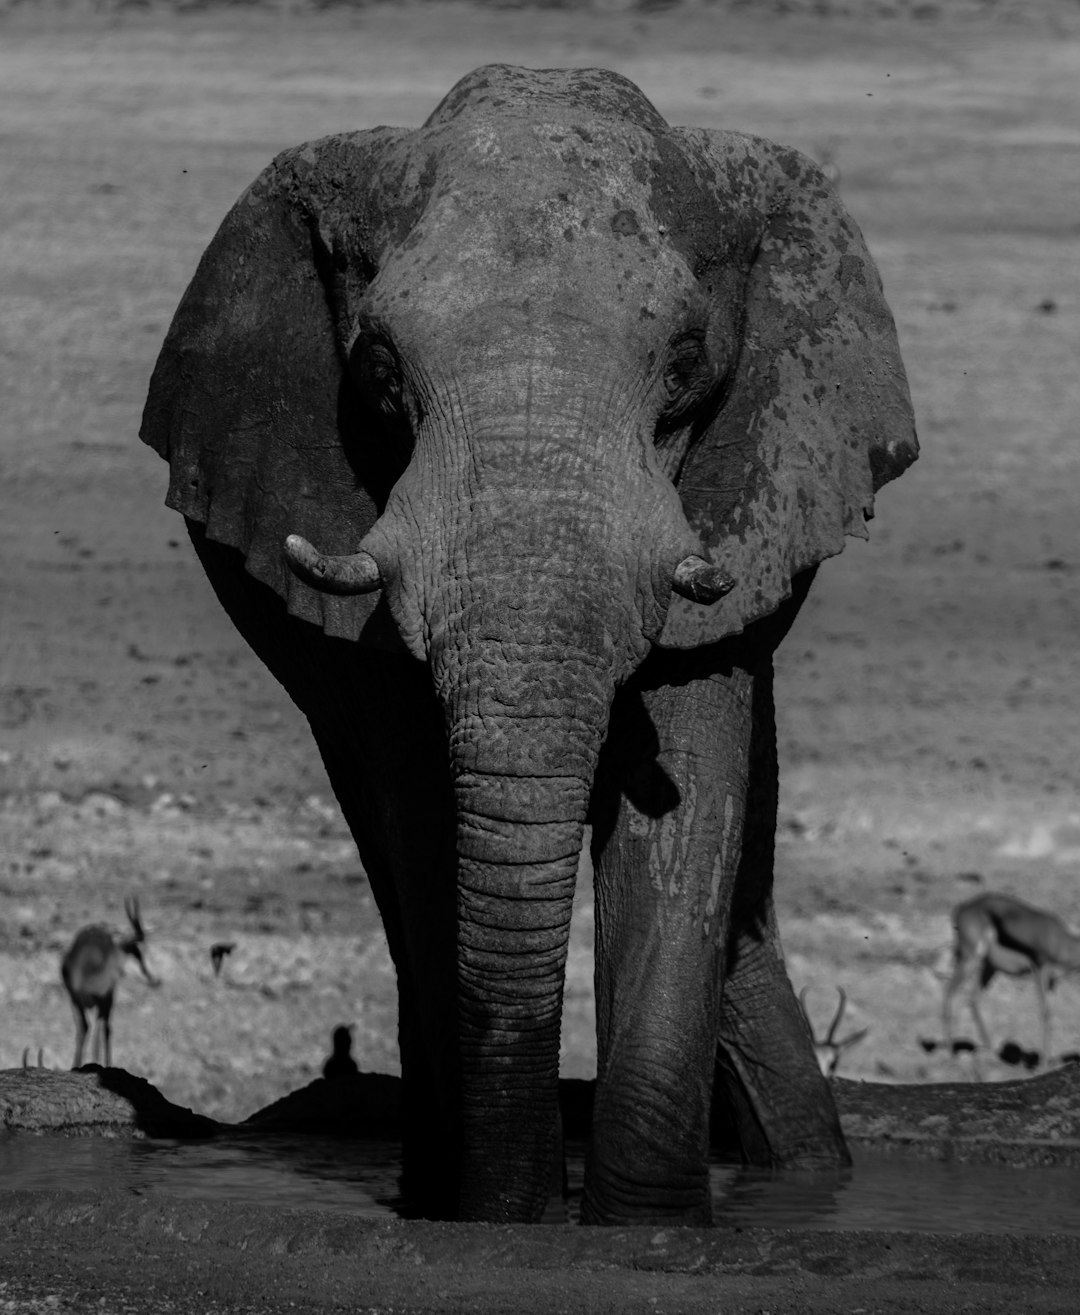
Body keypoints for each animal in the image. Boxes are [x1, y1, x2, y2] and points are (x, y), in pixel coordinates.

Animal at [60, 894, 157, 1067]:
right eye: (137, 951)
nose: (153, 980)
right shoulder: (107, 1000)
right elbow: (106, 1031)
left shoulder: (82, 1001)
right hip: (99, 1003)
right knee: (95, 1032)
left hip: (75, 1001)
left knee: (83, 1029)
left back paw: (76, 1065)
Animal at [141, 66, 920, 1225]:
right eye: (379, 368)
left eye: (686, 363)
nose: (530, 1210)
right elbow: (420, 807)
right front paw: (496, 1218)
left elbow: (686, 803)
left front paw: (637, 1224)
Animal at [941, 888, 1078, 1062]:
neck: (1061, 943)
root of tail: (963, 906)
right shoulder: (1039, 970)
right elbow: (1045, 1012)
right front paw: (1043, 1063)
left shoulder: (1053, 981)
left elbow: (1051, 1013)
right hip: (970, 958)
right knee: (949, 992)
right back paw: (950, 1054)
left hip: (989, 967)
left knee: (973, 999)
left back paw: (991, 1051)